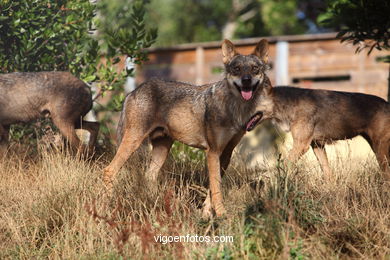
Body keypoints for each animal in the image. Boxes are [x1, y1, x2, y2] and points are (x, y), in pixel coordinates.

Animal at [103, 39, 272, 217]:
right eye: (237, 69)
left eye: (255, 69)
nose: (246, 80)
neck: (234, 108)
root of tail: (133, 91)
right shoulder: (213, 152)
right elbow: (216, 189)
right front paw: (221, 215)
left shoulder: (226, 153)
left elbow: (212, 190)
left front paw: (206, 215)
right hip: (134, 142)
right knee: (109, 171)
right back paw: (107, 206)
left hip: (162, 149)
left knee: (149, 176)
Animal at [254, 82, 388, 180]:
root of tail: (387, 103)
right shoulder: (317, 145)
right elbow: (327, 173)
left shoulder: (301, 145)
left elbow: (283, 166)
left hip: (381, 149)